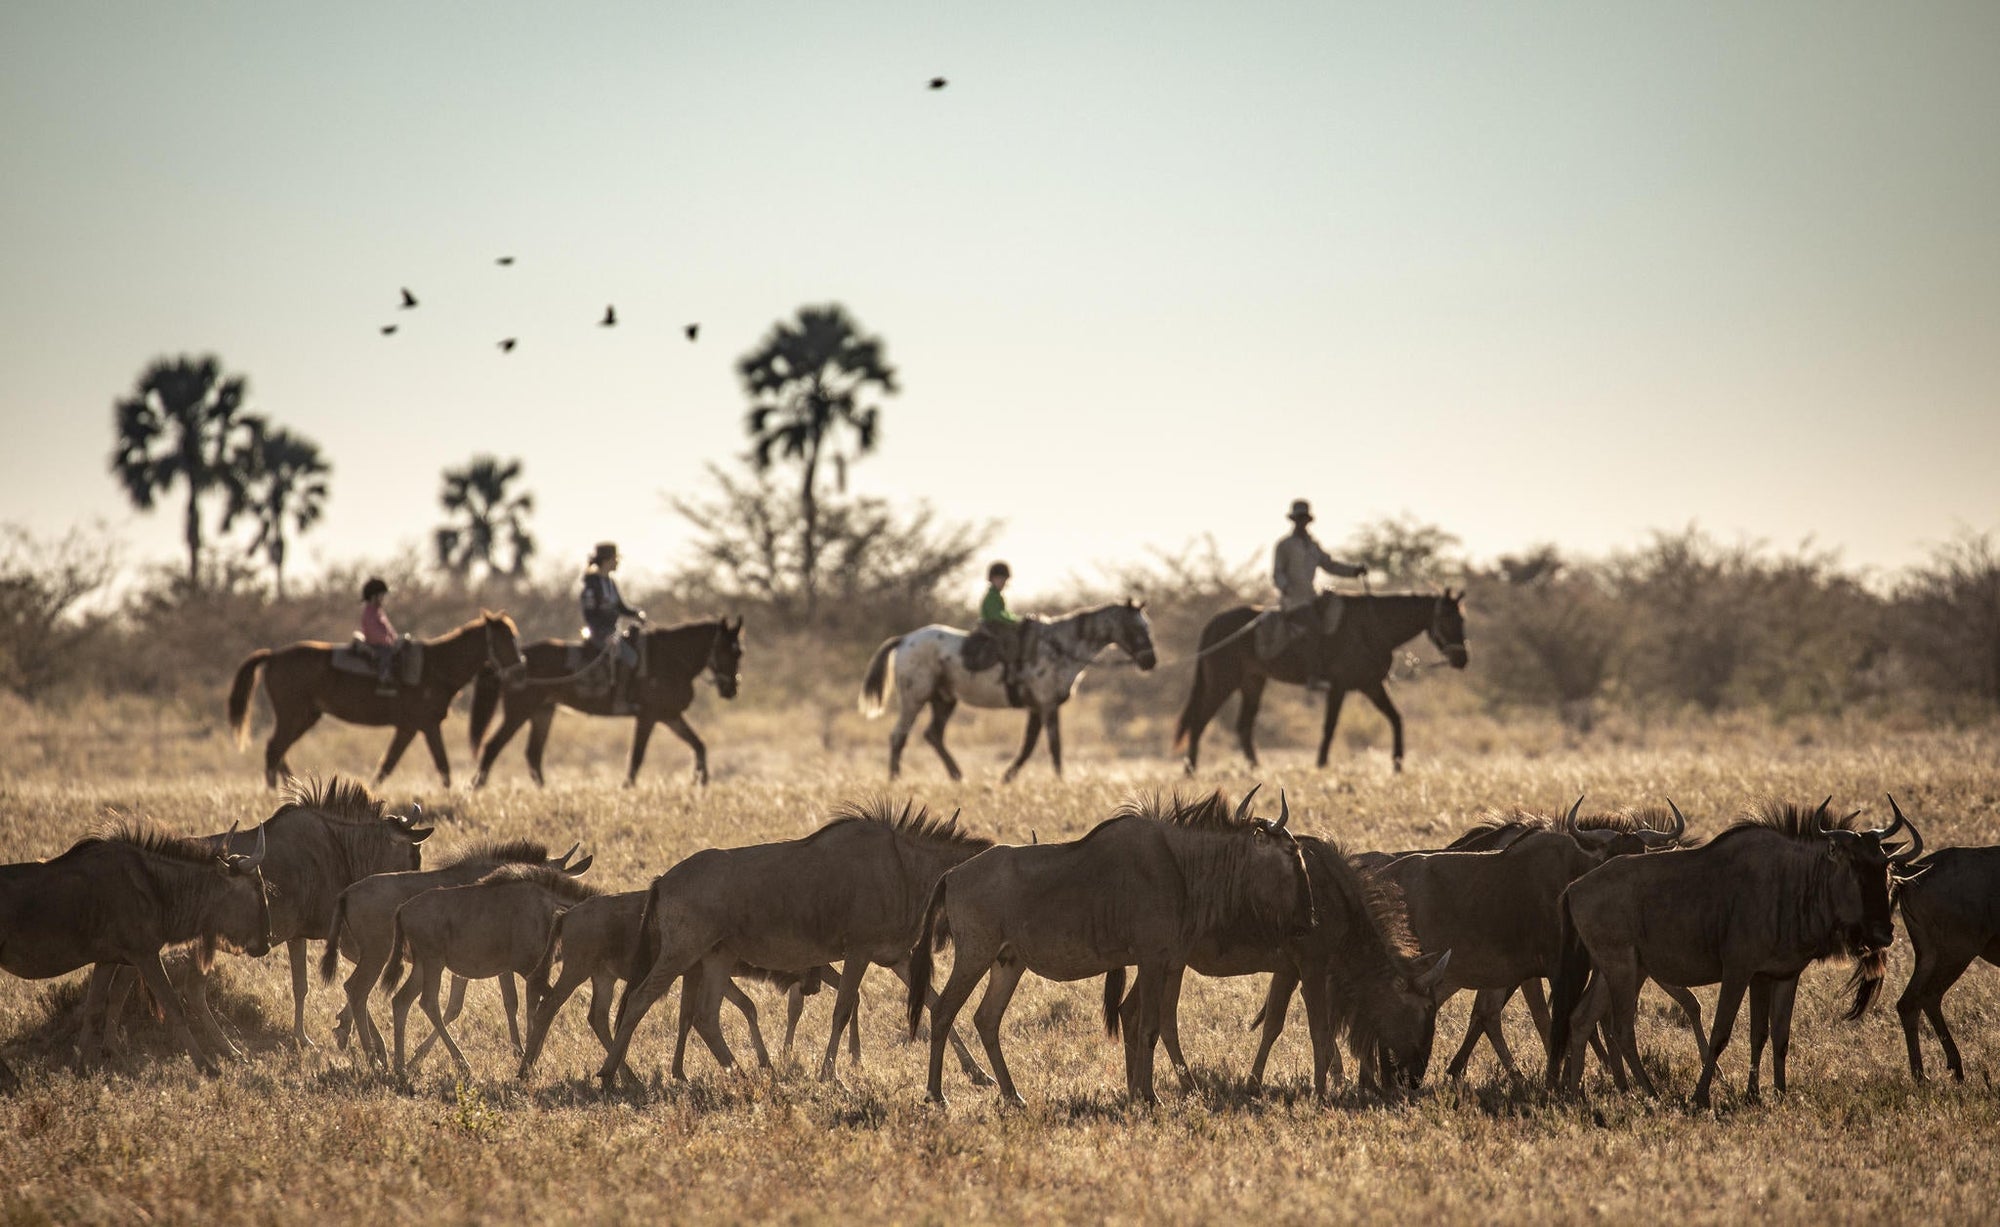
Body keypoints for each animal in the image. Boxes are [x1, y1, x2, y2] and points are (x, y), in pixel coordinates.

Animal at [227, 611, 525, 789]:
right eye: (505, 639)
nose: (520, 671)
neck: (435, 666)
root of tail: (274, 656)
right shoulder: (423, 725)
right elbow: (438, 765)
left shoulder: (412, 728)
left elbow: (391, 765)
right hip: (293, 715)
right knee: (274, 749)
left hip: (306, 716)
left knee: (279, 751)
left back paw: (294, 788)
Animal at [466, 617, 744, 788]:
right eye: (725, 650)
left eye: (739, 652)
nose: (731, 689)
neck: (671, 658)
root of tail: (512, 663)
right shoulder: (649, 716)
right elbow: (637, 756)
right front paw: (627, 787)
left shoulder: (670, 716)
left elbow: (699, 744)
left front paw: (701, 781)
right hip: (518, 712)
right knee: (493, 747)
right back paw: (475, 788)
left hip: (542, 712)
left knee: (533, 754)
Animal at [858, 599, 1157, 782]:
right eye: (1136, 627)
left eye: (1147, 625)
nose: (1150, 661)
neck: (1060, 647)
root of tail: (905, 640)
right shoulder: (1047, 705)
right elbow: (1053, 745)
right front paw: (1060, 780)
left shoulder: (1037, 708)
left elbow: (1028, 746)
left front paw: (1007, 779)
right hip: (914, 698)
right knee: (899, 735)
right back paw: (895, 778)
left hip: (944, 699)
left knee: (933, 735)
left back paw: (957, 776)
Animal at [1173, 591, 1466, 774]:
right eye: (1447, 619)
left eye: (1462, 618)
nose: (1462, 659)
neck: (1372, 627)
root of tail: (1214, 624)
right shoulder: (1339, 687)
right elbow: (1330, 726)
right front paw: (1322, 764)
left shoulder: (1371, 686)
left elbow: (1396, 719)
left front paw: (1397, 764)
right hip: (1223, 683)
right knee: (1199, 722)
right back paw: (1190, 770)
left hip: (1253, 682)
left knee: (1244, 726)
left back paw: (1256, 769)